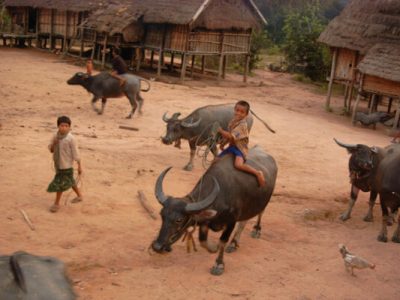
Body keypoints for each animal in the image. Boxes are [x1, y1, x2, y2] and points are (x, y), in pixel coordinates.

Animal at [151, 146, 278, 276]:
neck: (220, 195)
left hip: (264, 201)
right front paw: (214, 248)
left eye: (179, 220)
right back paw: (234, 243)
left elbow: (222, 241)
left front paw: (219, 264)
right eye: (161, 215)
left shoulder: (231, 222)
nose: (157, 246)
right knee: (244, 221)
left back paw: (256, 230)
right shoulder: (205, 222)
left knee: (260, 213)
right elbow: (203, 242)